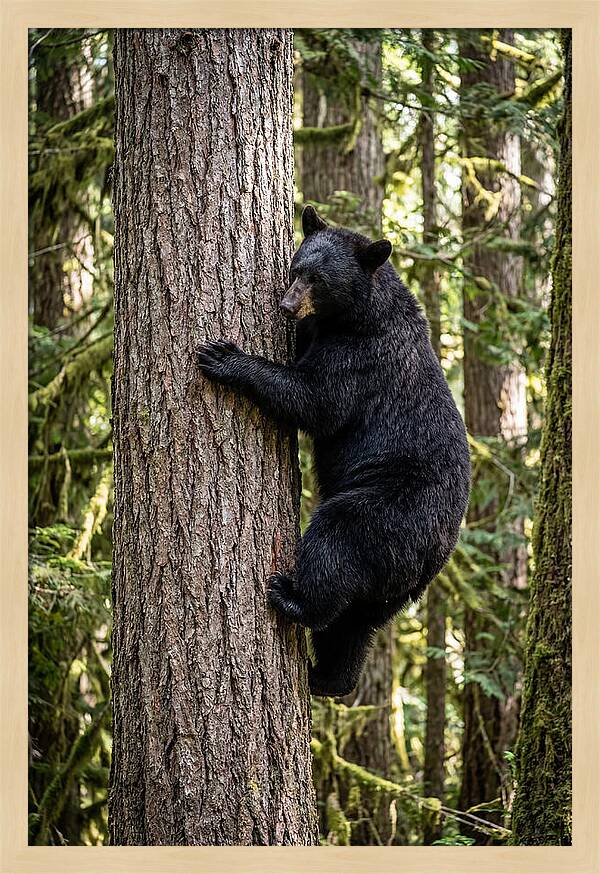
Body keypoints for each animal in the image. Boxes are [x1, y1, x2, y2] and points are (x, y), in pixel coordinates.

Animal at [197, 205, 471, 697]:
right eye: (296, 268)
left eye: (319, 280)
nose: (287, 305)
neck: (358, 316)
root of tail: (435, 555)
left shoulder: (361, 358)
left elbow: (315, 399)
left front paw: (225, 356)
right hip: (393, 586)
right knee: (355, 624)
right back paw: (329, 677)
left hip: (387, 512)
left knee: (335, 544)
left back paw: (292, 598)